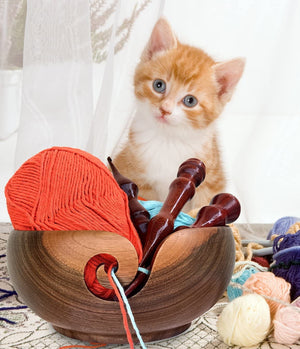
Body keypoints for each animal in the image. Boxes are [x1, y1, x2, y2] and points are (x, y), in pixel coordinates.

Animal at [113, 18, 245, 212]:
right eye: (159, 85)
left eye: (190, 101)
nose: (165, 109)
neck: (169, 139)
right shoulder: (133, 173)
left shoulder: (212, 182)